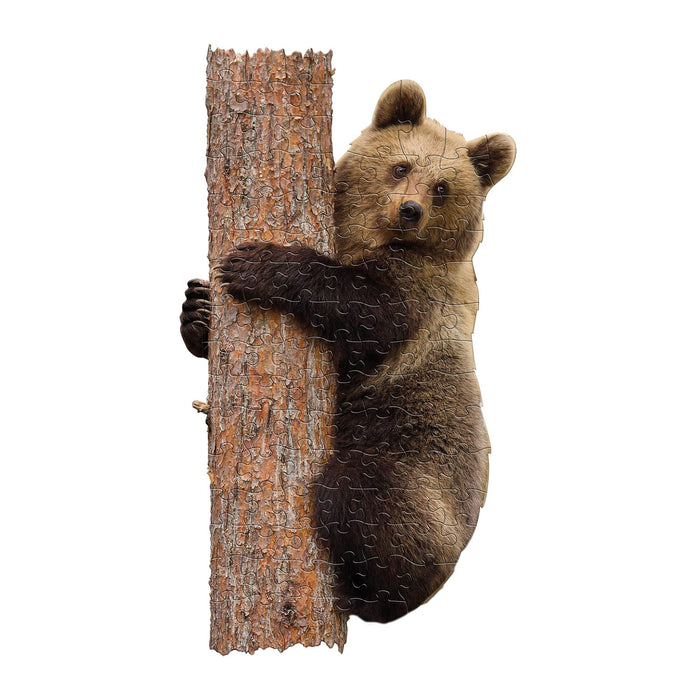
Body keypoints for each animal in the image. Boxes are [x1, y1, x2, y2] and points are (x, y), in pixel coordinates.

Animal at [180, 80, 515, 622]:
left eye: (442, 187)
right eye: (401, 166)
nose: (409, 211)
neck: (372, 239)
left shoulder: (419, 295)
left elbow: (361, 310)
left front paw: (258, 263)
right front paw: (198, 310)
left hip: (415, 471)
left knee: (359, 494)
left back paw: (365, 592)